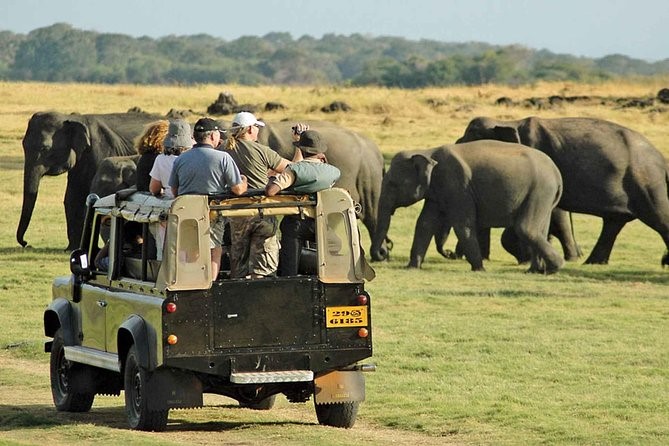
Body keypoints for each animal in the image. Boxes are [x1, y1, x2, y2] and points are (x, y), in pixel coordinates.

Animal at [16, 110, 162, 251]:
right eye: (23, 145)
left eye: (44, 148)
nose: (26, 243)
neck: (72, 118)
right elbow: (72, 197)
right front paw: (71, 249)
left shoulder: (100, 151)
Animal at [370, 141, 564, 274]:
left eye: (392, 184)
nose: (383, 253)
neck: (428, 151)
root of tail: (557, 173)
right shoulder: (437, 192)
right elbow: (424, 224)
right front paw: (411, 267)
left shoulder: (457, 185)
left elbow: (462, 225)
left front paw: (479, 269)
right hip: (543, 197)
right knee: (540, 229)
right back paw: (534, 271)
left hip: (539, 191)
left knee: (526, 228)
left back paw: (555, 267)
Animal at [456, 116, 668, 266]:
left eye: (470, 139)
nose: (453, 255)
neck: (509, 122)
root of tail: (661, 158)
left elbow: (555, 213)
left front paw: (526, 257)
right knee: (614, 222)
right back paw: (593, 262)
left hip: (646, 182)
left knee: (658, 217)